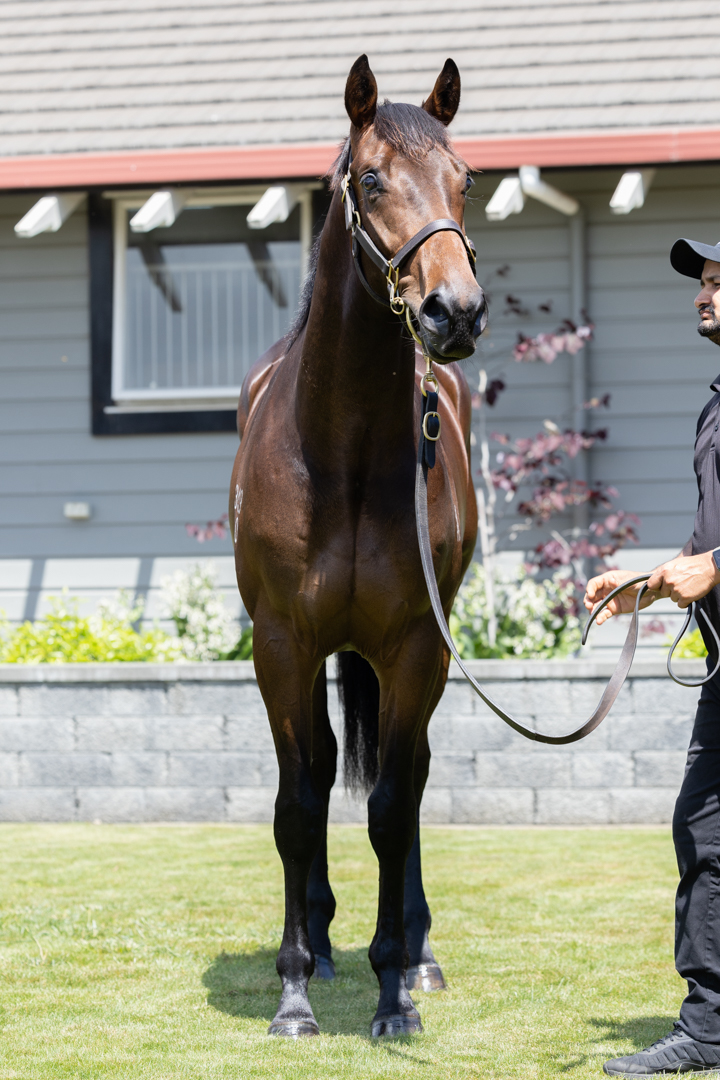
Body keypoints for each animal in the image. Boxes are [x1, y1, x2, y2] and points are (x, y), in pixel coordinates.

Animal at [230, 54, 486, 1039]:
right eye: (372, 179)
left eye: (466, 179)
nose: (456, 312)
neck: (338, 452)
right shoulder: (282, 646)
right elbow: (299, 805)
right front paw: (297, 989)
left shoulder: (415, 647)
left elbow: (390, 808)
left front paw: (394, 989)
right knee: (315, 768)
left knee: (406, 783)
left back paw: (417, 955)